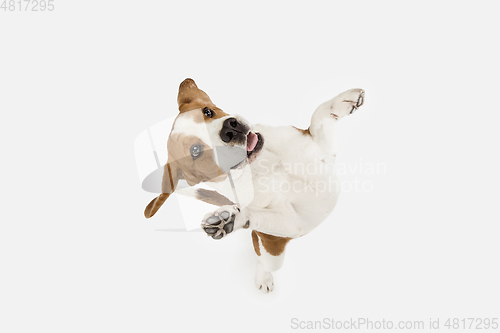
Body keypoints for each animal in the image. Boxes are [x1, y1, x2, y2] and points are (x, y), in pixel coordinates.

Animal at [145, 79, 364, 292]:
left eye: (207, 112)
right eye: (195, 150)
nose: (230, 127)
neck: (264, 164)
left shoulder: (323, 150)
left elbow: (319, 115)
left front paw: (345, 101)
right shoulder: (293, 223)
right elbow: (255, 214)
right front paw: (229, 219)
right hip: (273, 253)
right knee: (260, 254)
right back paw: (262, 275)